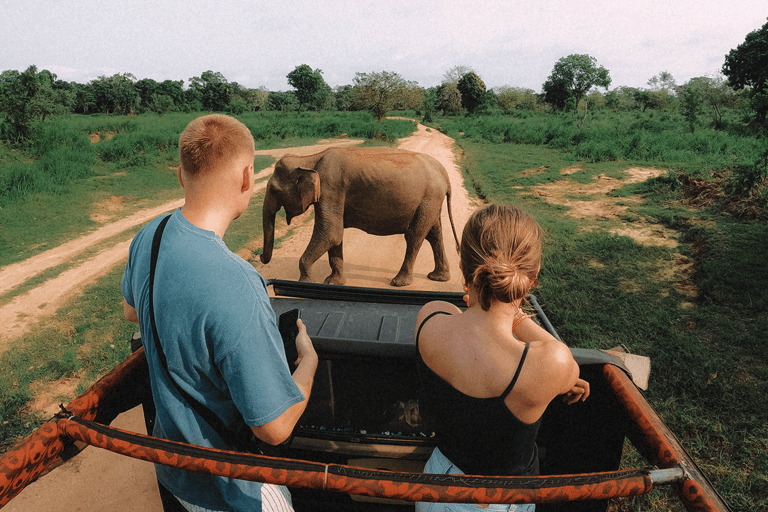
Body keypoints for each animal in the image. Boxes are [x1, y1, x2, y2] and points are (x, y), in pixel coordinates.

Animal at [260, 146, 460, 286]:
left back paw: (399, 283)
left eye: (274, 190)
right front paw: (334, 283)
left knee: (414, 236)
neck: (309, 160)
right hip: (431, 201)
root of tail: (445, 174)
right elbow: (335, 236)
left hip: (429, 198)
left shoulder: (330, 188)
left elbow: (330, 233)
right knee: (434, 234)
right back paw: (438, 277)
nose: (261, 258)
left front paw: (306, 282)